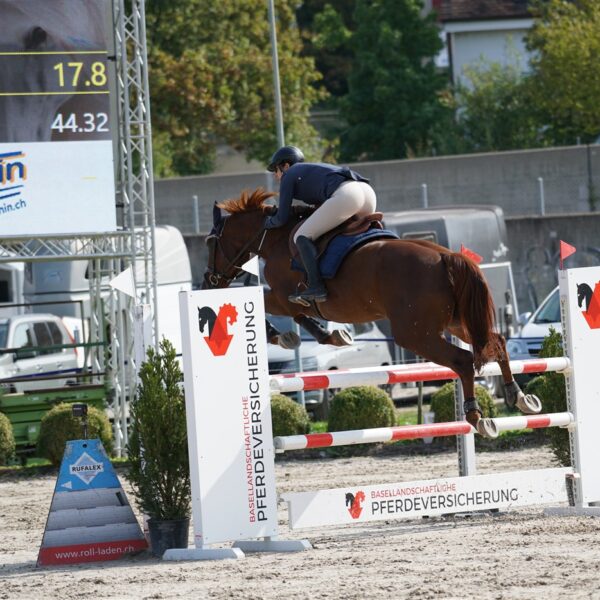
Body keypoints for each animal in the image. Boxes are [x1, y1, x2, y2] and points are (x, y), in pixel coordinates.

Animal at [202, 188, 541, 437]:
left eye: (209, 242)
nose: (209, 282)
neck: (272, 239)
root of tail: (446, 257)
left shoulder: (287, 297)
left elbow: (274, 308)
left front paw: (286, 336)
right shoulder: (291, 300)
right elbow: (301, 318)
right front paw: (332, 335)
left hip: (414, 334)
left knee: (462, 361)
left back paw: (476, 416)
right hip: (456, 323)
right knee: (496, 342)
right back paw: (519, 397)